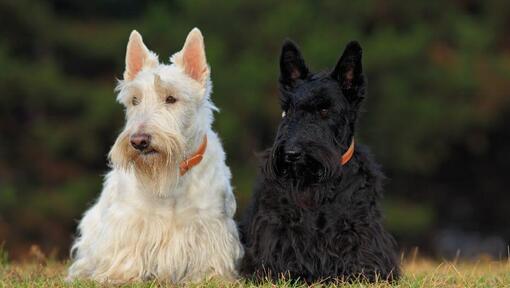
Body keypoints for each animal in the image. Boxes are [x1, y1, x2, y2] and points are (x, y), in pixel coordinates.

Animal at [67, 28, 243, 284]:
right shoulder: (129, 220)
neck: (172, 176)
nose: (139, 141)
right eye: (135, 100)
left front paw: (210, 277)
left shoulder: (210, 223)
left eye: (171, 98)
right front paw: (120, 276)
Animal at [241, 39, 400, 282]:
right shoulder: (276, 229)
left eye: (325, 110)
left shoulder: (361, 230)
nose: (291, 153)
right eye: (288, 110)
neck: (314, 185)